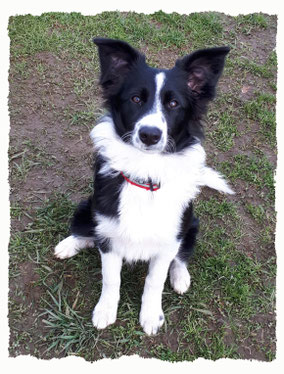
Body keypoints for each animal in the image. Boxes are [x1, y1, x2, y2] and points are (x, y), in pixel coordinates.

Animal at [54, 38, 234, 336]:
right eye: (136, 99)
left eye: (173, 103)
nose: (150, 135)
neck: (145, 175)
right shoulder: (109, 235)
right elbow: (110, 278)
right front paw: (105, 310)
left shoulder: (170, 239)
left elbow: (154, 281)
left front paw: (151, 316)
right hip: (88, 205)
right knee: (86, 230)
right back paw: (70, 243)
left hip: (191, 224)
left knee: (182, 255)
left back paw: (181, 276)